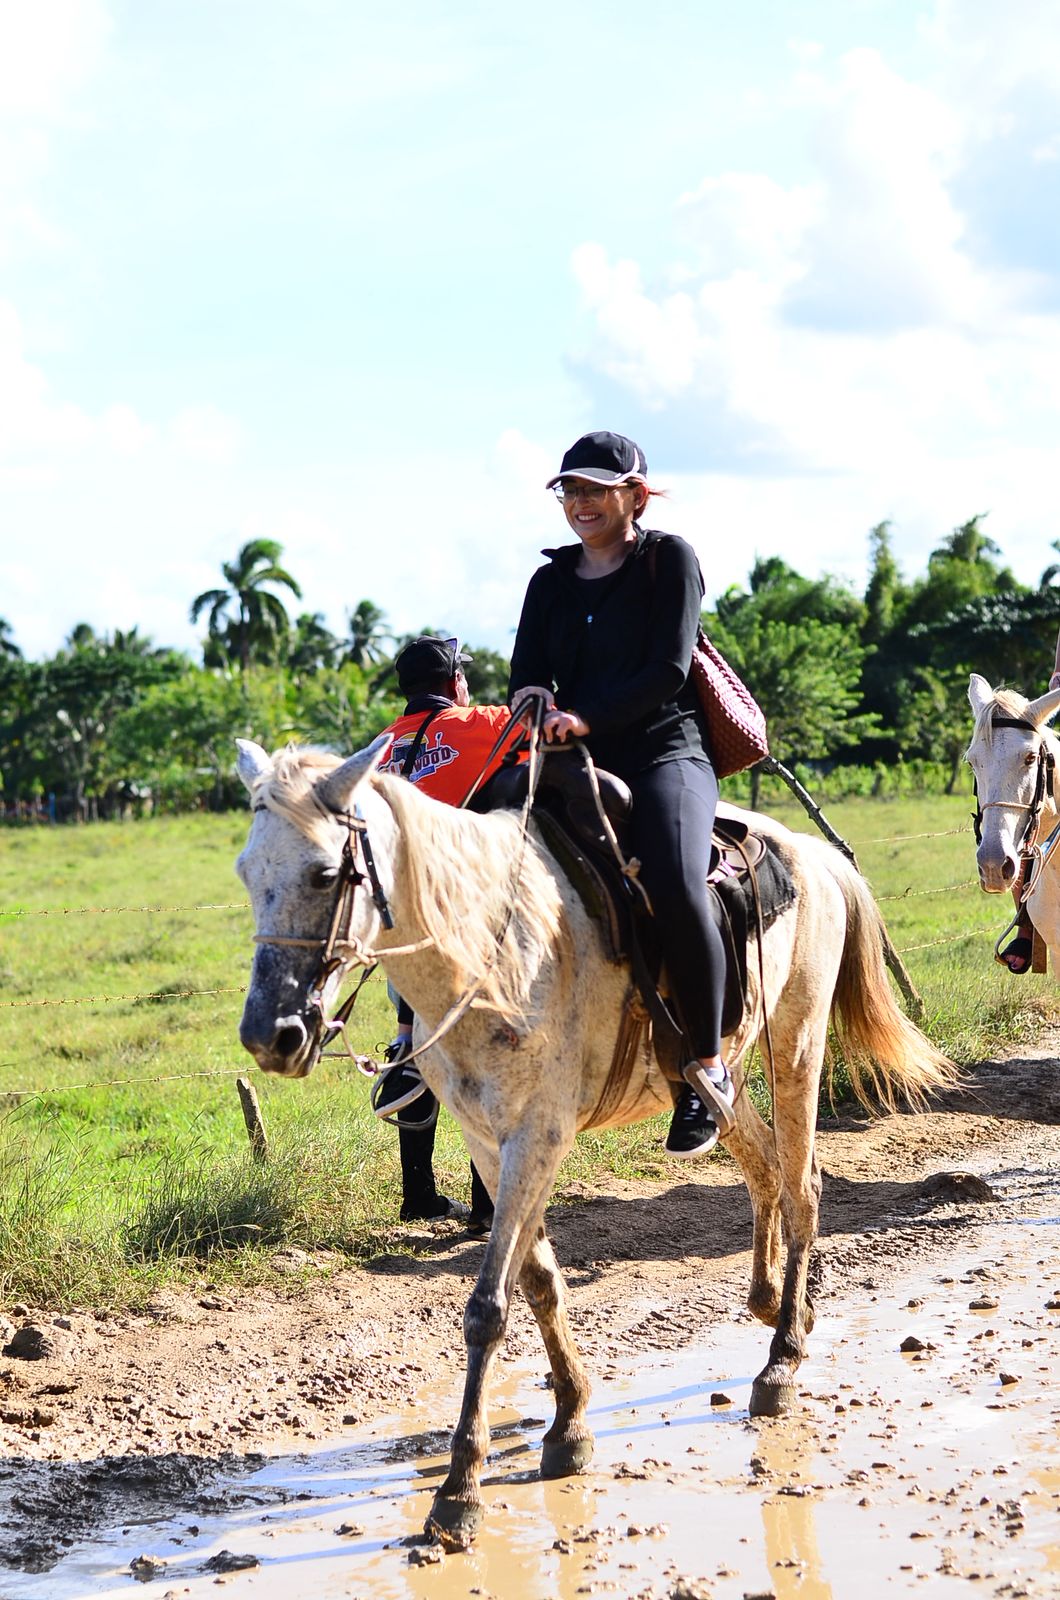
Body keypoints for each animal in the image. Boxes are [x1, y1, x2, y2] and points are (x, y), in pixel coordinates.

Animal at [233, 736, 955, 1550]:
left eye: (326, 873)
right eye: (247, 873)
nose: (269, 1035)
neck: (489, 941)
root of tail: (816, 857)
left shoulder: (538, 1135)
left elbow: (489, 1305)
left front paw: (459, 1488)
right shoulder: (490, 1141)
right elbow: (540, 1283)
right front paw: (570, 1422)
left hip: (794, 1045)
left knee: (801, 1183)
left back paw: (782, 1362)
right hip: (722, 1076)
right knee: (766, 1165)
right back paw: (776, 1304)